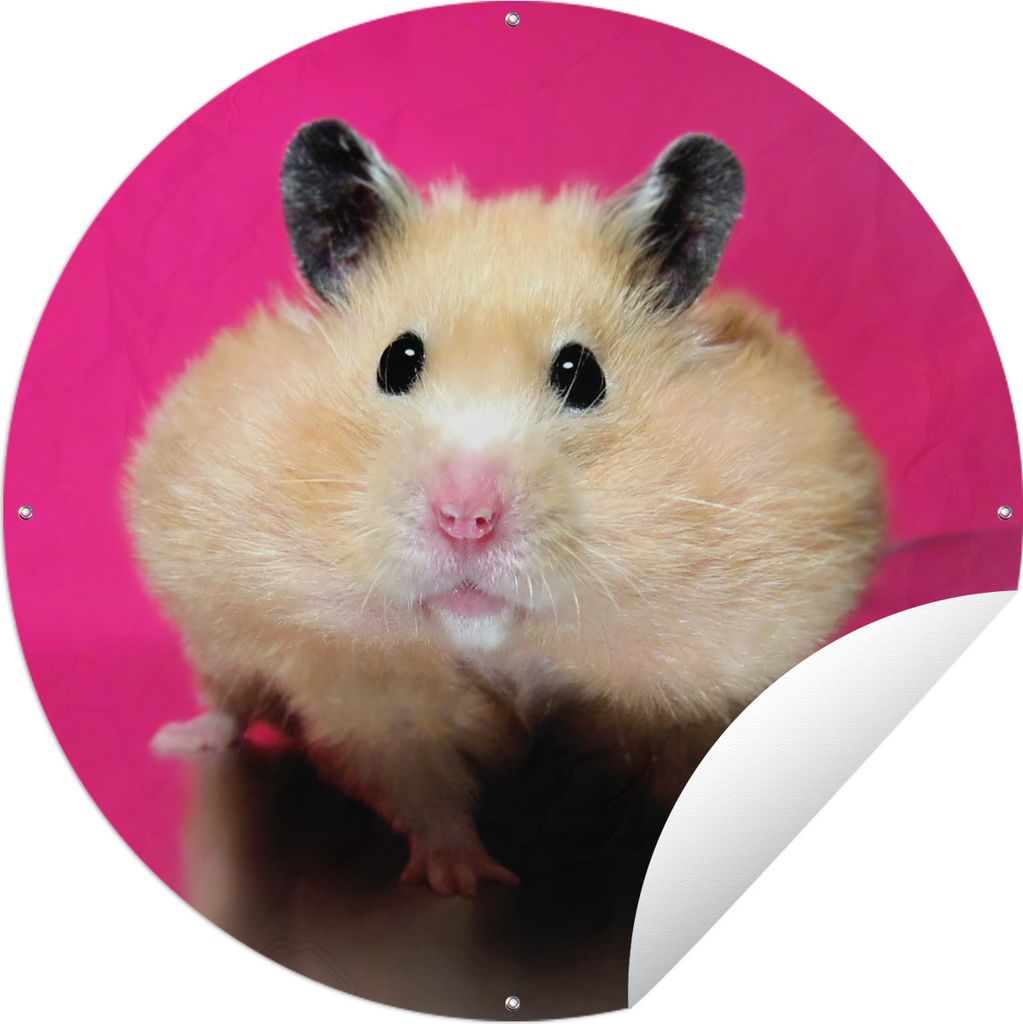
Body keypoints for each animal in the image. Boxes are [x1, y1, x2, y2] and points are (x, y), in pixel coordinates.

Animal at [127, 120, 883, 896]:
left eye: (582, 374)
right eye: (396, 360)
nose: (466, 518)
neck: (504, 646)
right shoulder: (371, 695)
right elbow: (421, 789)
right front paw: (468, 879)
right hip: (218, 638)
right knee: (228, 697)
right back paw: (180, 739)